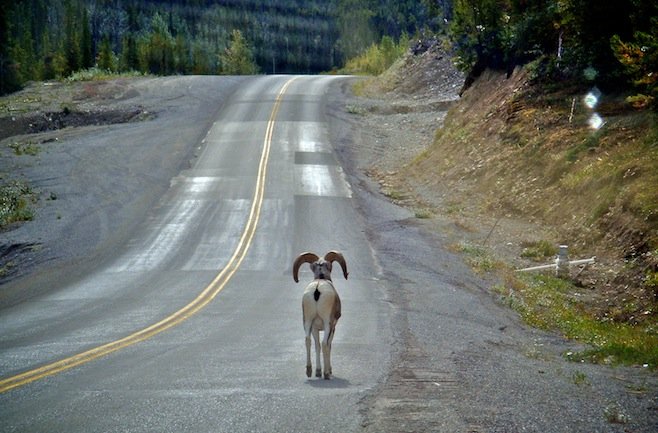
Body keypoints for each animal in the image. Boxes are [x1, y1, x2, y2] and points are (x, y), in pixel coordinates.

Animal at [292, 250, 348, 378]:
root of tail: (317, 289)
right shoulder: (333, 327)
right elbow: (328, 345)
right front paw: (328, 370)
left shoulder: (315, 328)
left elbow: (316, 346)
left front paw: (318, 371)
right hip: (327, 323)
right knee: (324, 344)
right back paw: (326, 374)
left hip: (307, 321)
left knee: (308, 341)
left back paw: (309, 371)